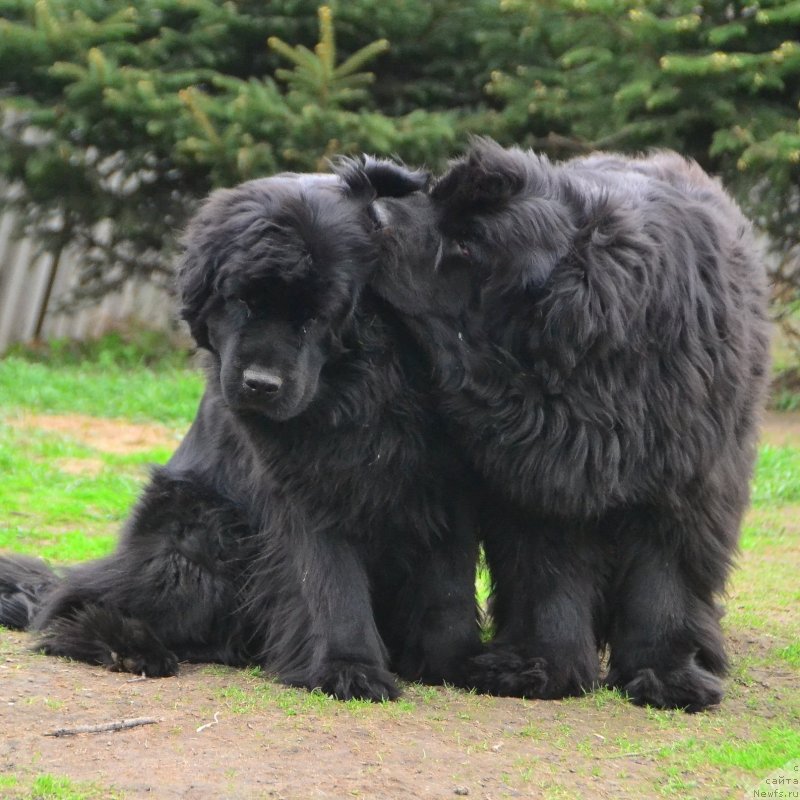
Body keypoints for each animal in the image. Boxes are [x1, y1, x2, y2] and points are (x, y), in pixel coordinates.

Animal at [0, 161, 482, 700]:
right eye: (242, 300)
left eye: (316, 315)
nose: (261, 384)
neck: (363, 386)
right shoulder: (304, 490)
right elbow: (330, 580)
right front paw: (349, 668)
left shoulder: (445, 481)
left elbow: (450, 586)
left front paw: (460, 663)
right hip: (197, 531)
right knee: (70, 600)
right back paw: (130, 646)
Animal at [370, 141, 776, 708]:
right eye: (435, 197)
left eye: (468, 244)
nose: (374, 213)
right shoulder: (542, 478)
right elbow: (549, 576)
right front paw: (541, 668)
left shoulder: (684, 480)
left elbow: (665, 579)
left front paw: (666, 675)